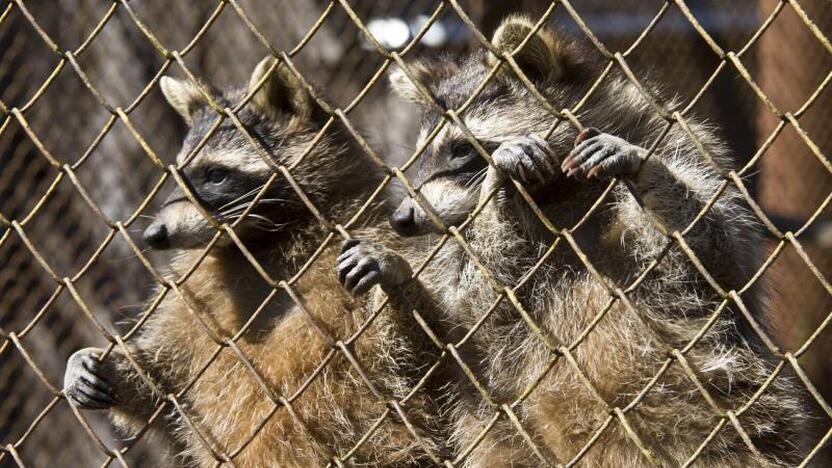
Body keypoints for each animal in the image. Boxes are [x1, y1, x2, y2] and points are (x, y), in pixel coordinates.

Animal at [62, 56, 442, 466]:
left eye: (215, 175)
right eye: (179, 176)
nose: (154, 235)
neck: (263, 242)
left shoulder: (373, 237)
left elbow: (420, 361)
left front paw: (394, 279)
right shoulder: (192, 296)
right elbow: (164, 382)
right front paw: (95, 364)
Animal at [344, 15, 812, 468]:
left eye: (460, 150)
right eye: (424, 155)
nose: (402, 219)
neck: (555, 194)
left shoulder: (693, 157)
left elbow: (720, 260)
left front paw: (645, 171)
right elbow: (459, 331)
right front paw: (402, 273)